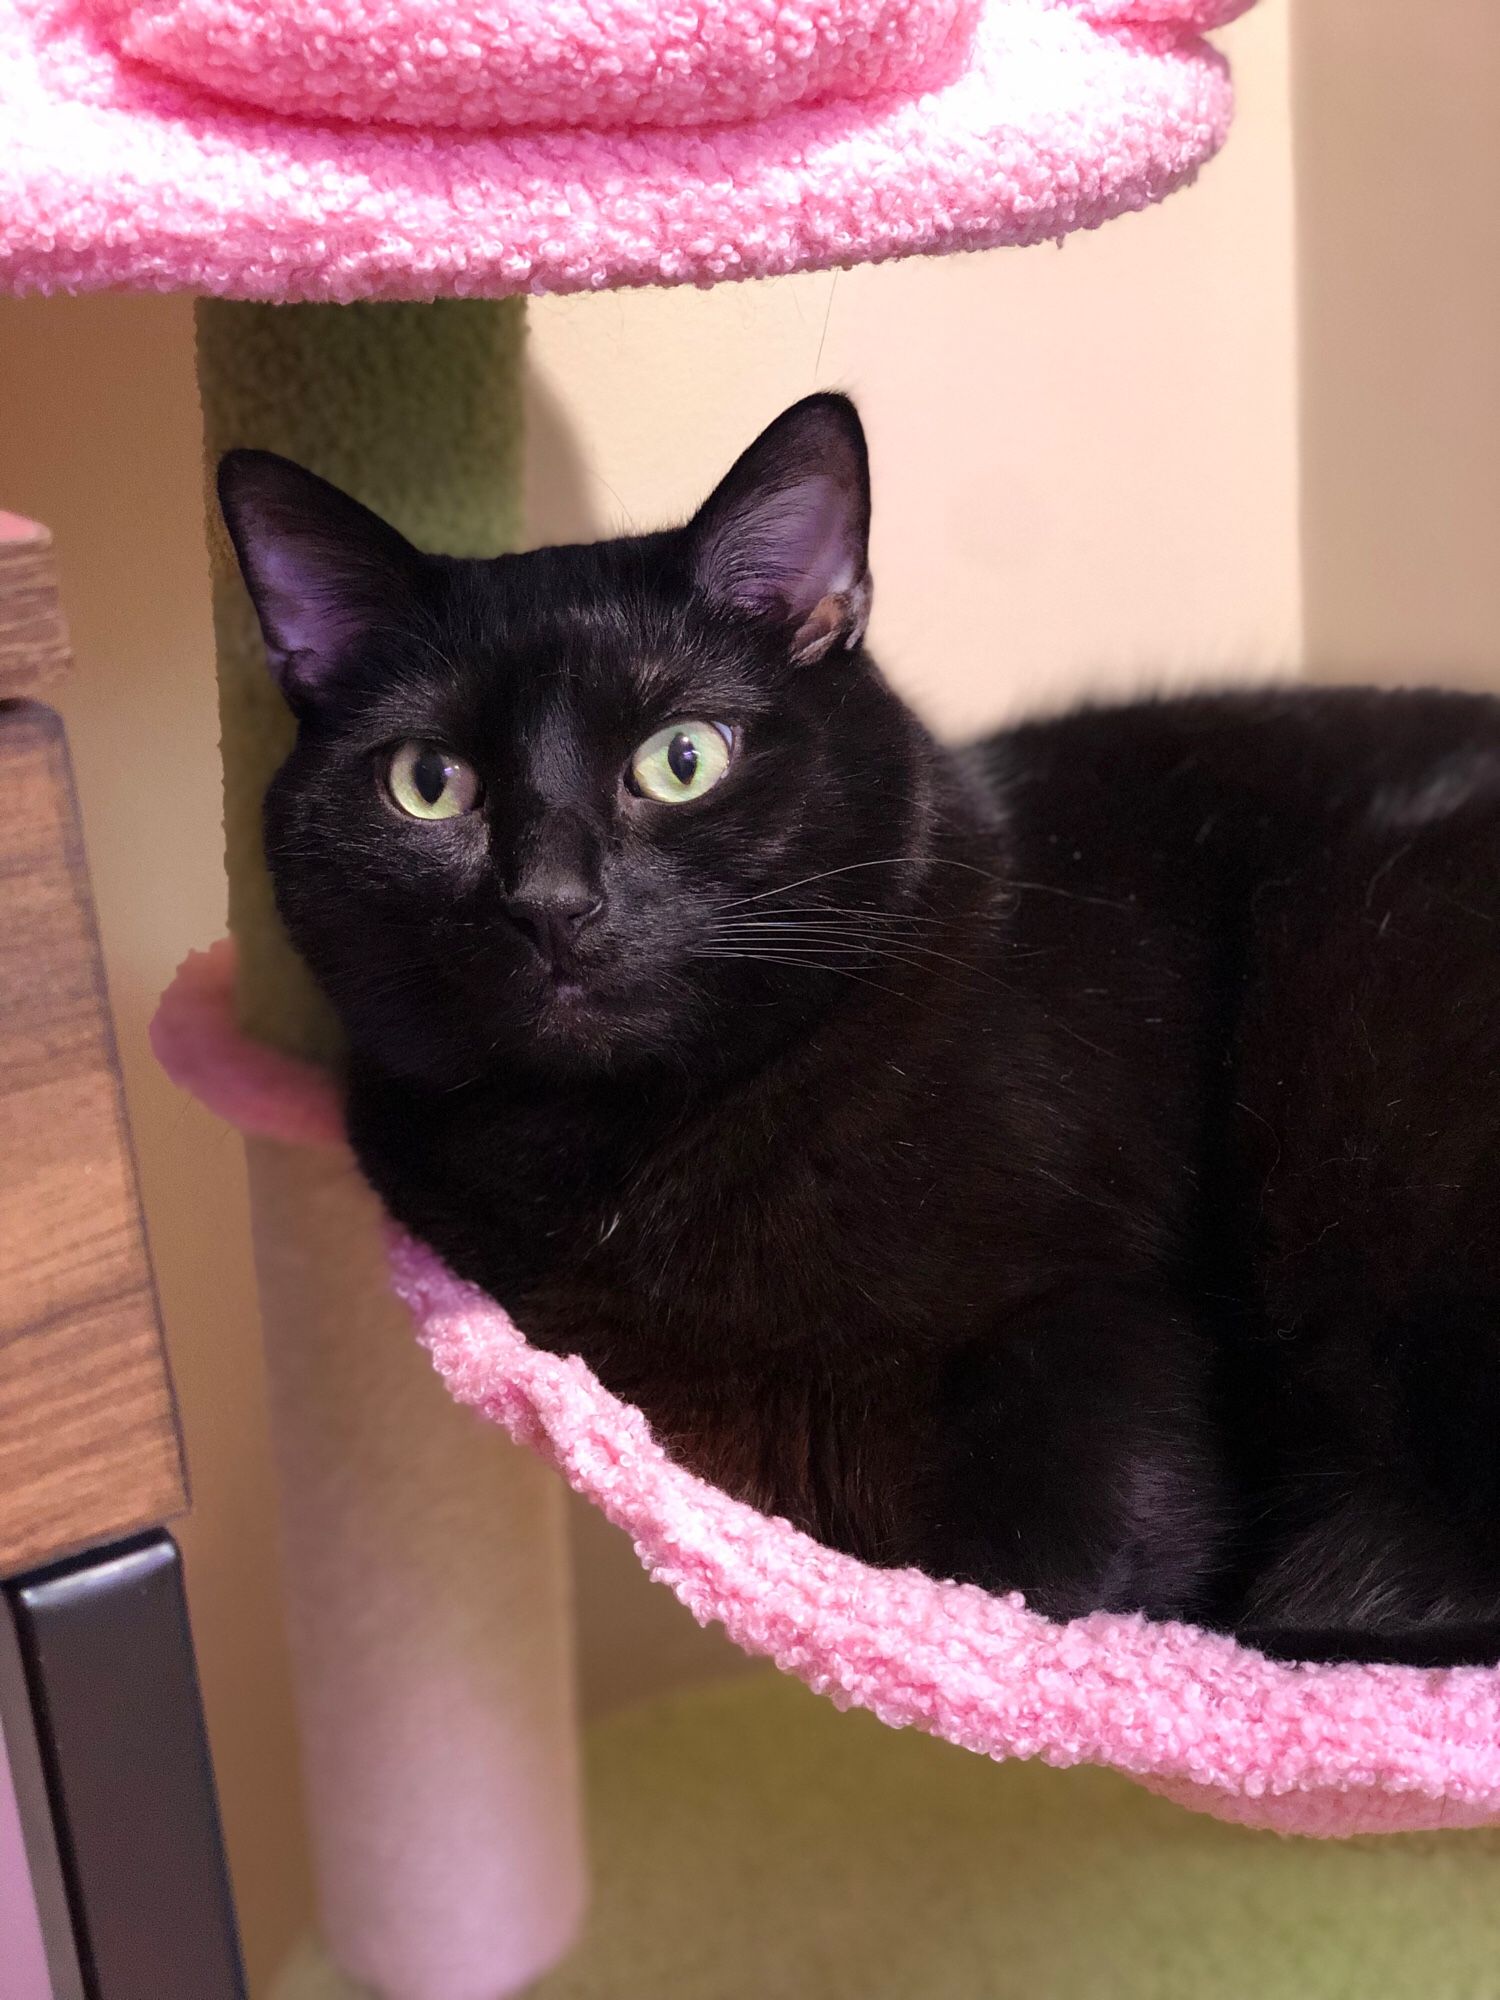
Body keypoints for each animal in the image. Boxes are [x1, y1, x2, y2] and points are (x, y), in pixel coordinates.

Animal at [217, 394, 1500, 1672]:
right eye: (428, 783)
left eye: (683, 759)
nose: (548, 899)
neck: (631, 1165)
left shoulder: (1103, 1320)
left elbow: (1035, 1576)